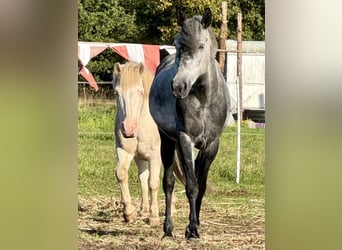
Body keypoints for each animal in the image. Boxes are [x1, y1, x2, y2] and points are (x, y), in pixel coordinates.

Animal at [149, 7, 230, 238]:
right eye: (177, 45)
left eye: (201, 45)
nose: (178, 86)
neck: (204, 100)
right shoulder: (185, 139)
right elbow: (191, 186)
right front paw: (192, 229)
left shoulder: (211, 144)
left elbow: (200, 186)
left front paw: (194, 227)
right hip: (167, 140)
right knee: (168, 183)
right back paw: (167, 229)